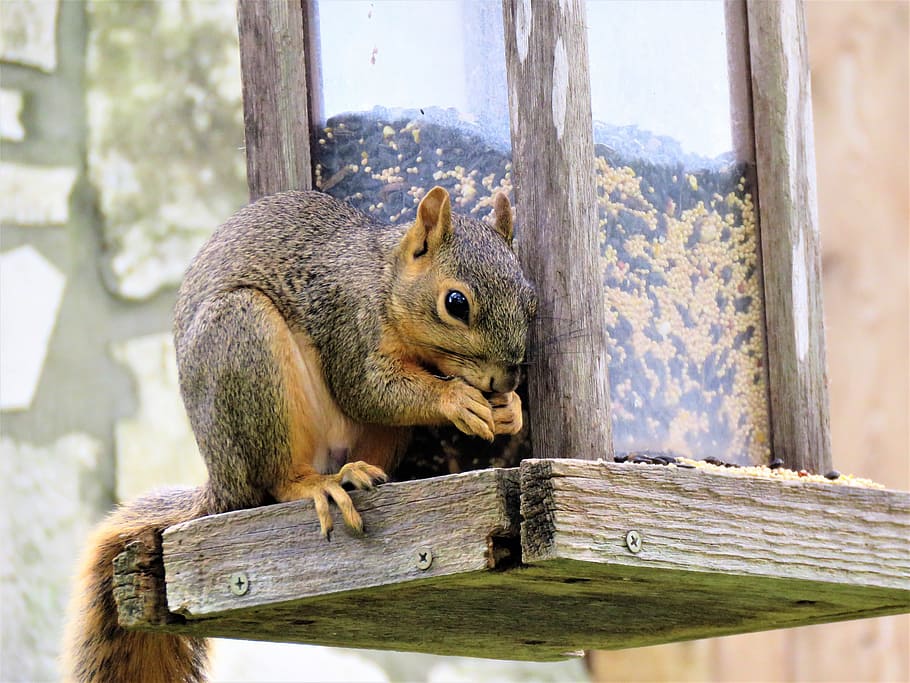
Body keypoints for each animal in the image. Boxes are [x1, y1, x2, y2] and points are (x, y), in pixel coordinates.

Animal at [62, 186, 537, 682]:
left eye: (531, 301)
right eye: (456, 303)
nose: (504, 380)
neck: (383, 281)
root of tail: (221, 485)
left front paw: (510, 410)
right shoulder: (347, 322)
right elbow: (367, 390)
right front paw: (456, 399)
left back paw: (358, 474)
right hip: (244, 340)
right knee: (276, 479)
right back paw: (320, 484)